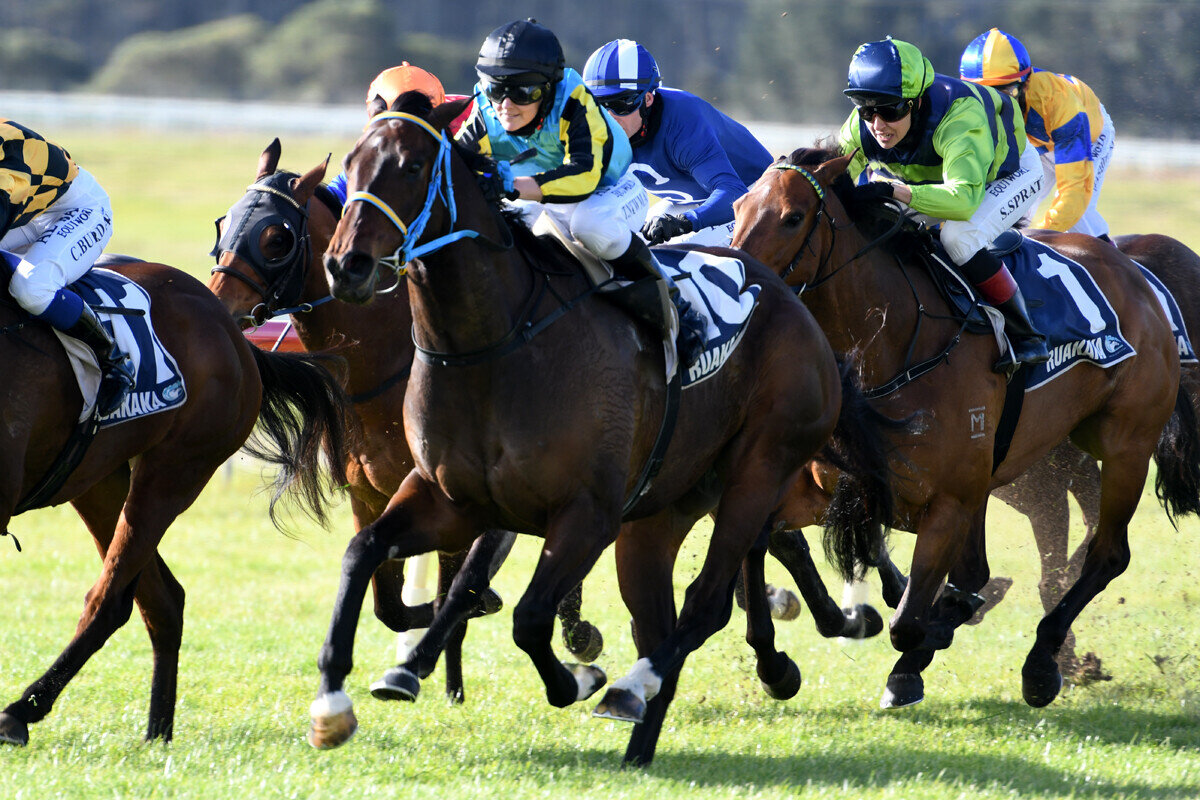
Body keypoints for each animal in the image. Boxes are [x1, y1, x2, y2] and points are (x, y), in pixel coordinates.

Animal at [0, 260, 350, 748]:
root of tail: (233, 333)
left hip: (171, 472)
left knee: (111, 600)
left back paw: (23, 710)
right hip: (97, 480)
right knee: (162, 599)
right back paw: (156, 731)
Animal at [204, 140, 609, 705]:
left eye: (276, 237)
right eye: (225, 222)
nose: (219, 306)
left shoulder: (467, 501)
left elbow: (454, 591)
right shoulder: (372, 497)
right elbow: (390, 604)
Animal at [304, 97, 897, 767]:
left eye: (409, 166)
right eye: (351, 162)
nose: (345, 265)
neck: (495, 344)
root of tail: (798, 310)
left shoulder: (587, 512)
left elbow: (529, 616)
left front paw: (577, 678)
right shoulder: (451, 500)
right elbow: (366, 554)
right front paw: (334, 703)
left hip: (759, 470)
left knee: (705, 603)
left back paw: (634, 688)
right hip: (658, 516)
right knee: (662, 618)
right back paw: (640, 742)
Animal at [724, 149, 1200, 714]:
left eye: (793, 217)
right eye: (737, 208)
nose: (737, 279)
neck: (897, 343)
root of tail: (1140, 274)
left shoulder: (948, 503)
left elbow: (909, 622)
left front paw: (918, 645)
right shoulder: (841, 488)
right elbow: (761, 541)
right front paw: (775, 666)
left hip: (1124, 446)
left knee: (1107, 555)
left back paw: (1041, 666)